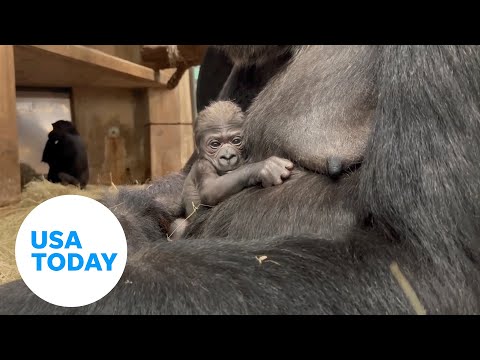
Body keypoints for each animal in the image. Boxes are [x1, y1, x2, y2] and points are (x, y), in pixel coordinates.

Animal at [171, 100, 294, 239]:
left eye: (236, 141)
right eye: (215, 144)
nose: (228, 156)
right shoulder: (202, 166)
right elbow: (210, 190)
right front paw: (262, 168)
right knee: (178, 225)